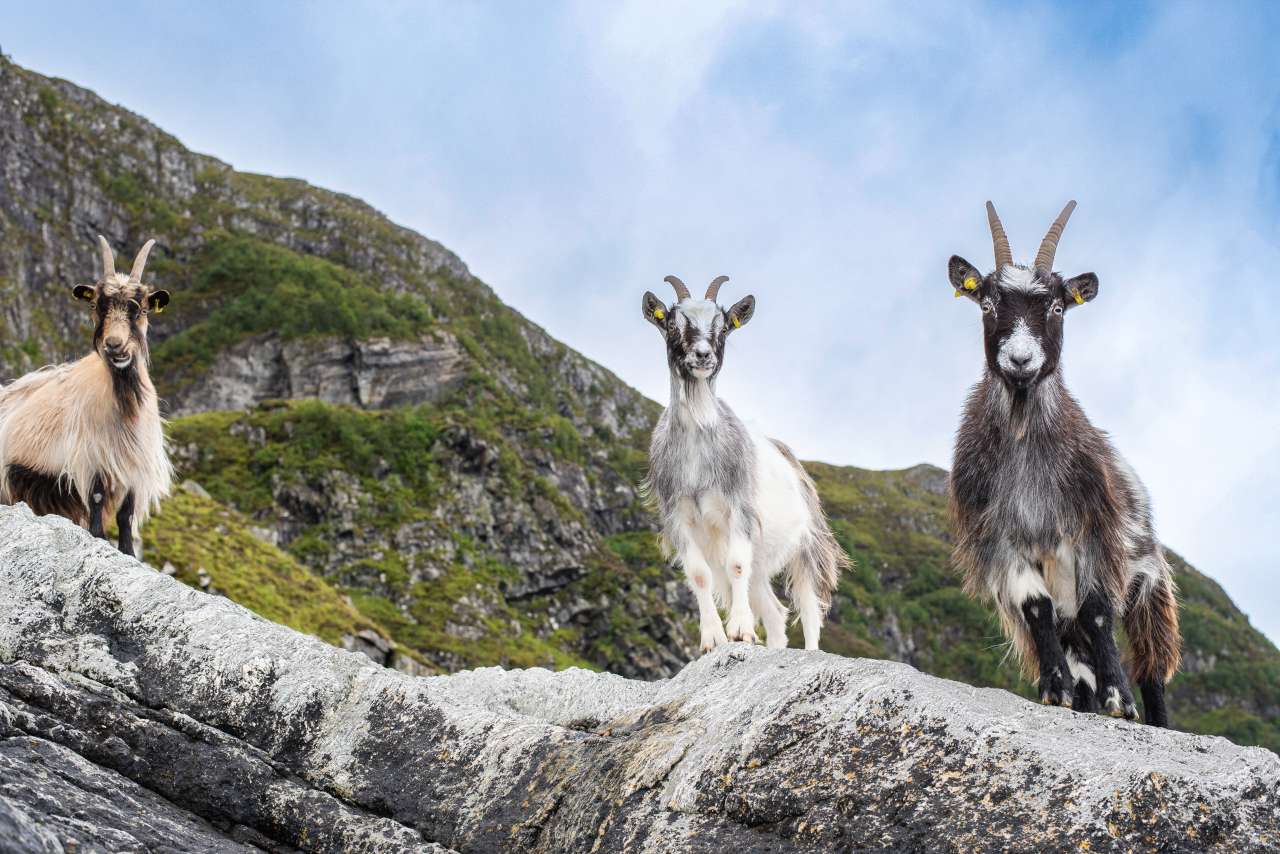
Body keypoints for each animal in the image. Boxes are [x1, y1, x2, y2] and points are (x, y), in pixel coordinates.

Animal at [0, 235, 174, 555]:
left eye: (142, 309)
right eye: (96, 305)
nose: (114, 345)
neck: (122, 406)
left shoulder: (134, 465)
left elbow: (126, 513)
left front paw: (128, 552)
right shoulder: (91, 456)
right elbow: (96, 500)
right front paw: (98, 537)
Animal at [640, 273, 849, 655]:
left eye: (723, 327)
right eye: (673, 324)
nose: (703, 355)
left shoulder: (739, 509)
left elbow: (736, 565)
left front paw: (740, 631)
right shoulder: (679, 517)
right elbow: (699, 575)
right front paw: (712, 638)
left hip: (807, 546)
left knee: (809, 608)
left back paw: (810, 651)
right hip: (763, 561)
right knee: (776, 612)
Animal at [952, 202, 1177, 727]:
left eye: (1057, 307)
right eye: (987, 304)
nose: (1020, 360)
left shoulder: (1094, 534)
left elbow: (1098, 612)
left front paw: (1120, 700)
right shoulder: (1002, 539)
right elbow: (1036, 607)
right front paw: (1055, 690)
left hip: (1150, 583)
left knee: (1151, 665)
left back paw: (1151, 716)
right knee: (1080, 655)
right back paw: (1083, 699)